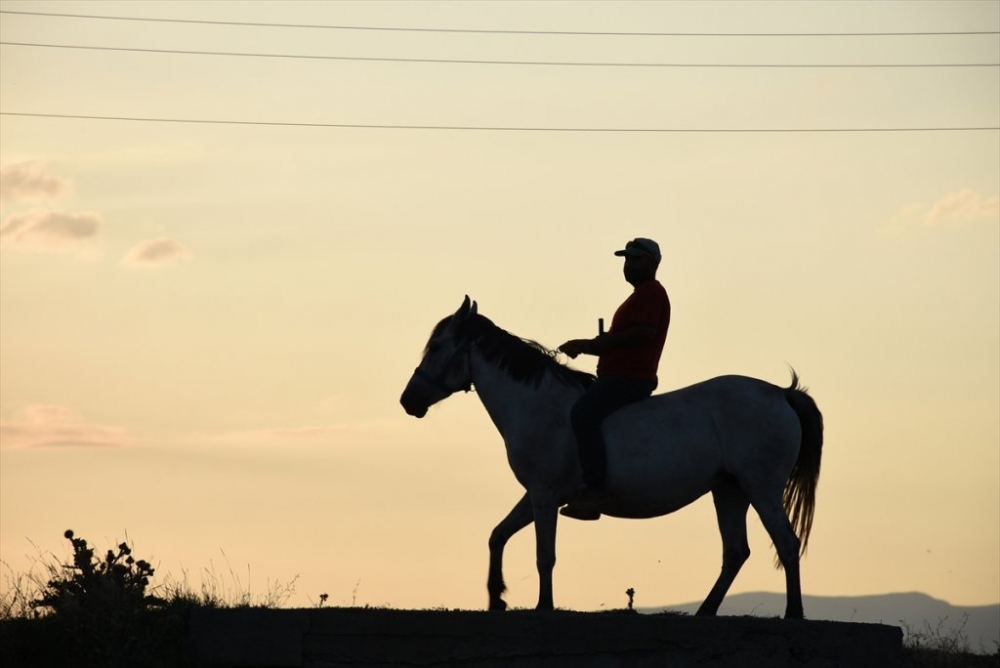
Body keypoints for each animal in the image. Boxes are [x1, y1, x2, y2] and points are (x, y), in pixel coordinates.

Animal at [398, 298, 820, 620]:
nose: (408, 400)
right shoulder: (536, 494)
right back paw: (705, 612)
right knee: (735, 552)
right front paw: (496, 598)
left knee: (786, 543)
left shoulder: (544, 494)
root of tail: (782, 393)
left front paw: (543, 606)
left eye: (436, 347)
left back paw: (793, 614)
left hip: (761, 489)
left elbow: (544, 555)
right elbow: (497, 535)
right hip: (729, 490)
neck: (537, 404)